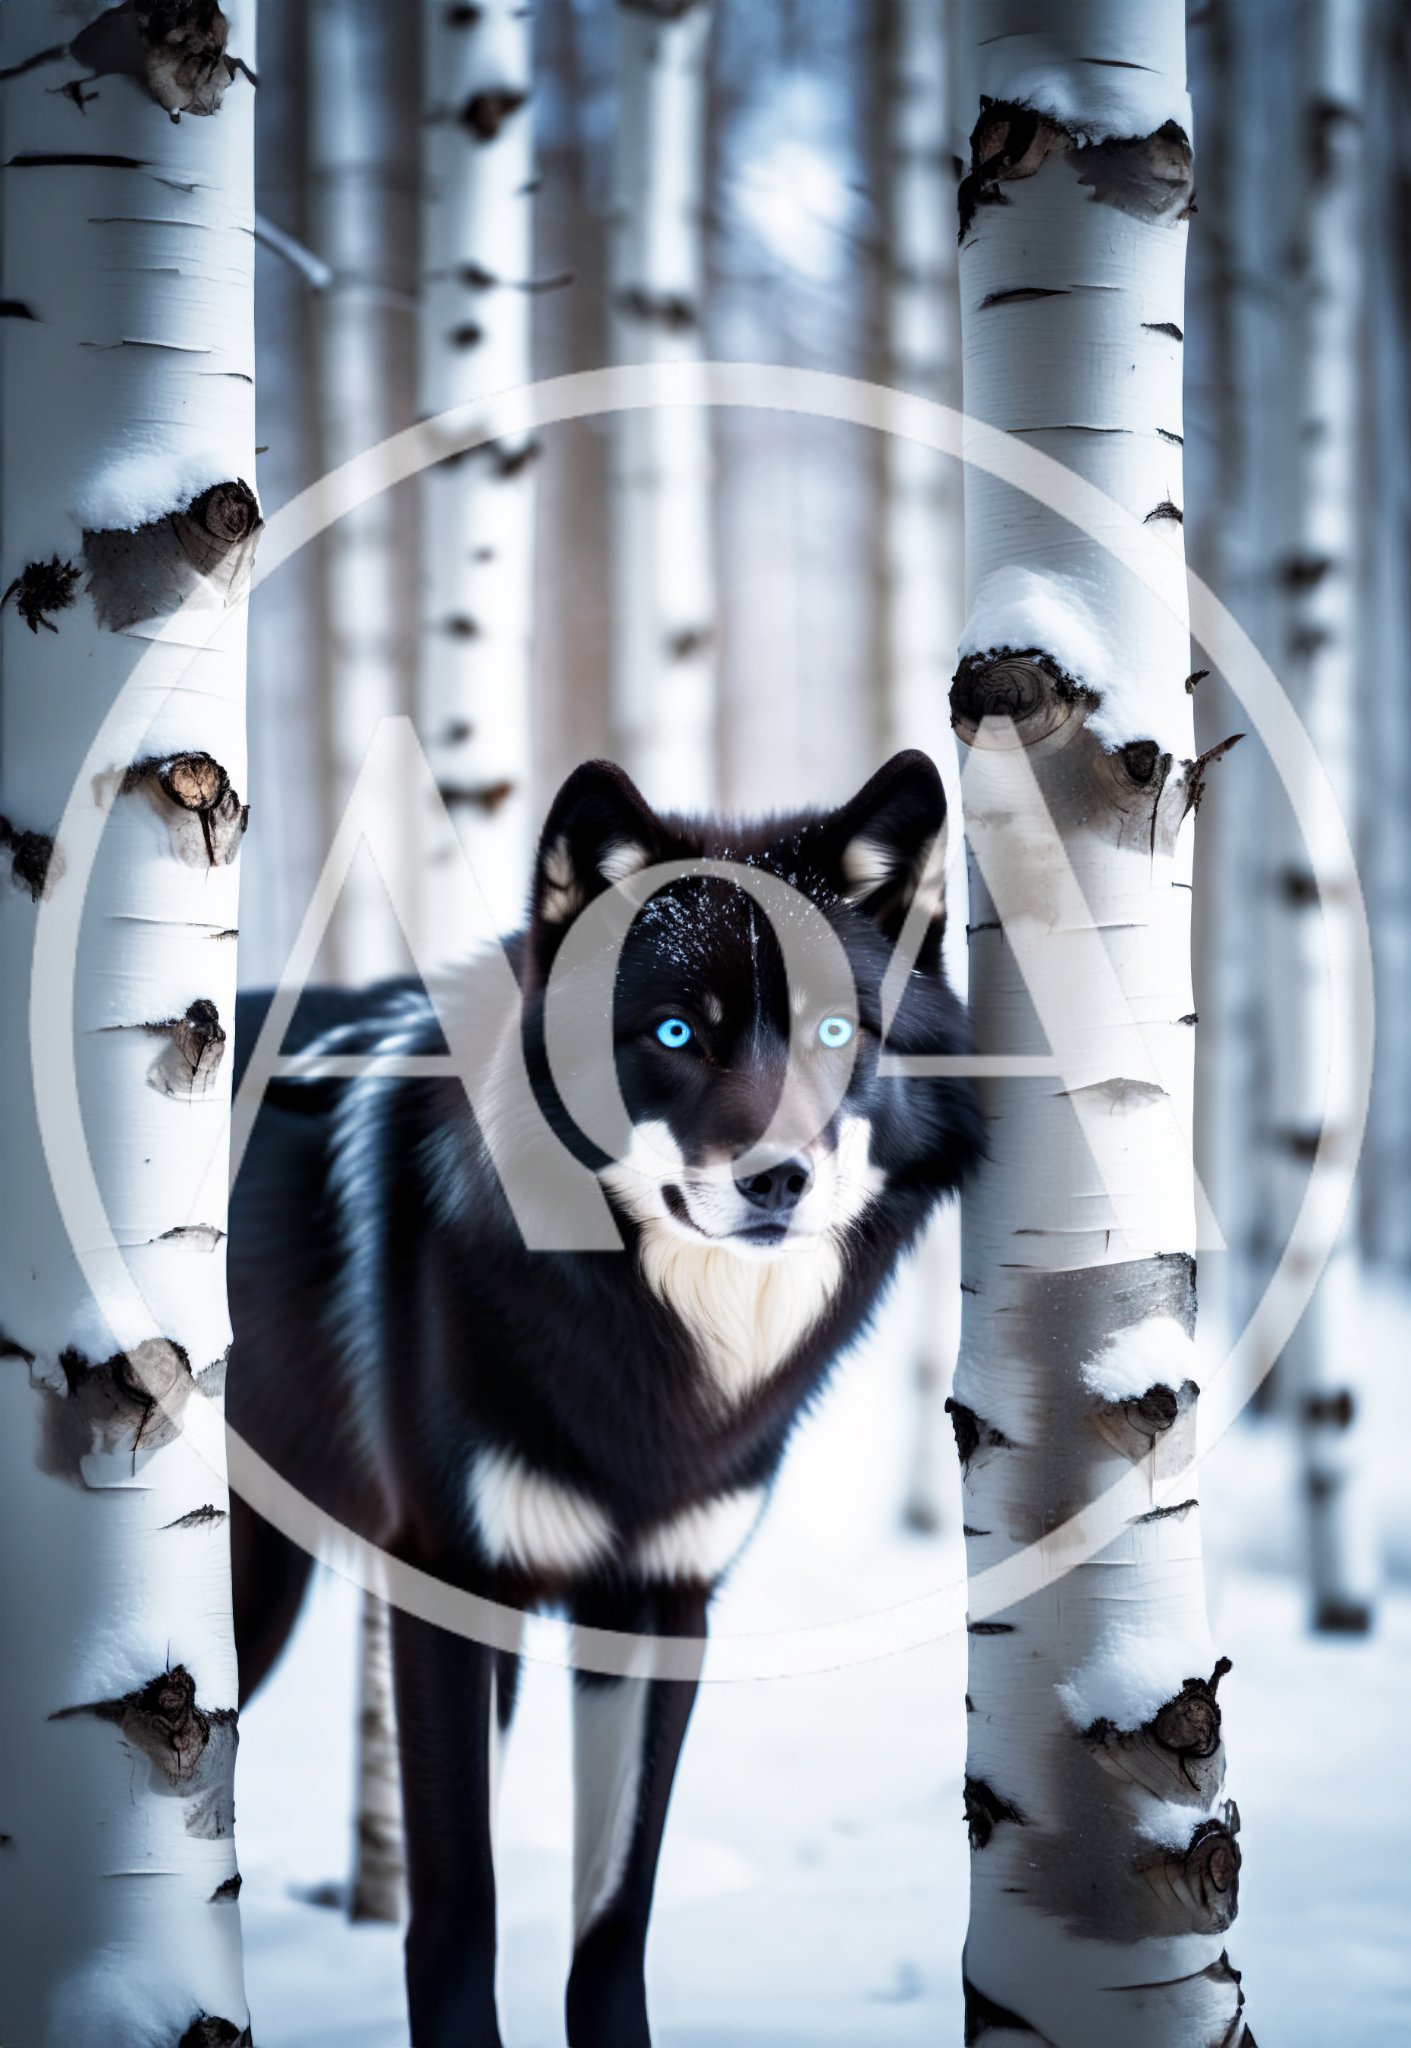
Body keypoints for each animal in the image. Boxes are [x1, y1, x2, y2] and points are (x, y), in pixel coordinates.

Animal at [227, 749, 982, 2048]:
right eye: (676, 1031)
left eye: (837, 1029)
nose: (778, 1178)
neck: (651, 1349)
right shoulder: (449, 1582)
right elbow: (461, 1906)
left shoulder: (663, 1603)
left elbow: (613, 1917)